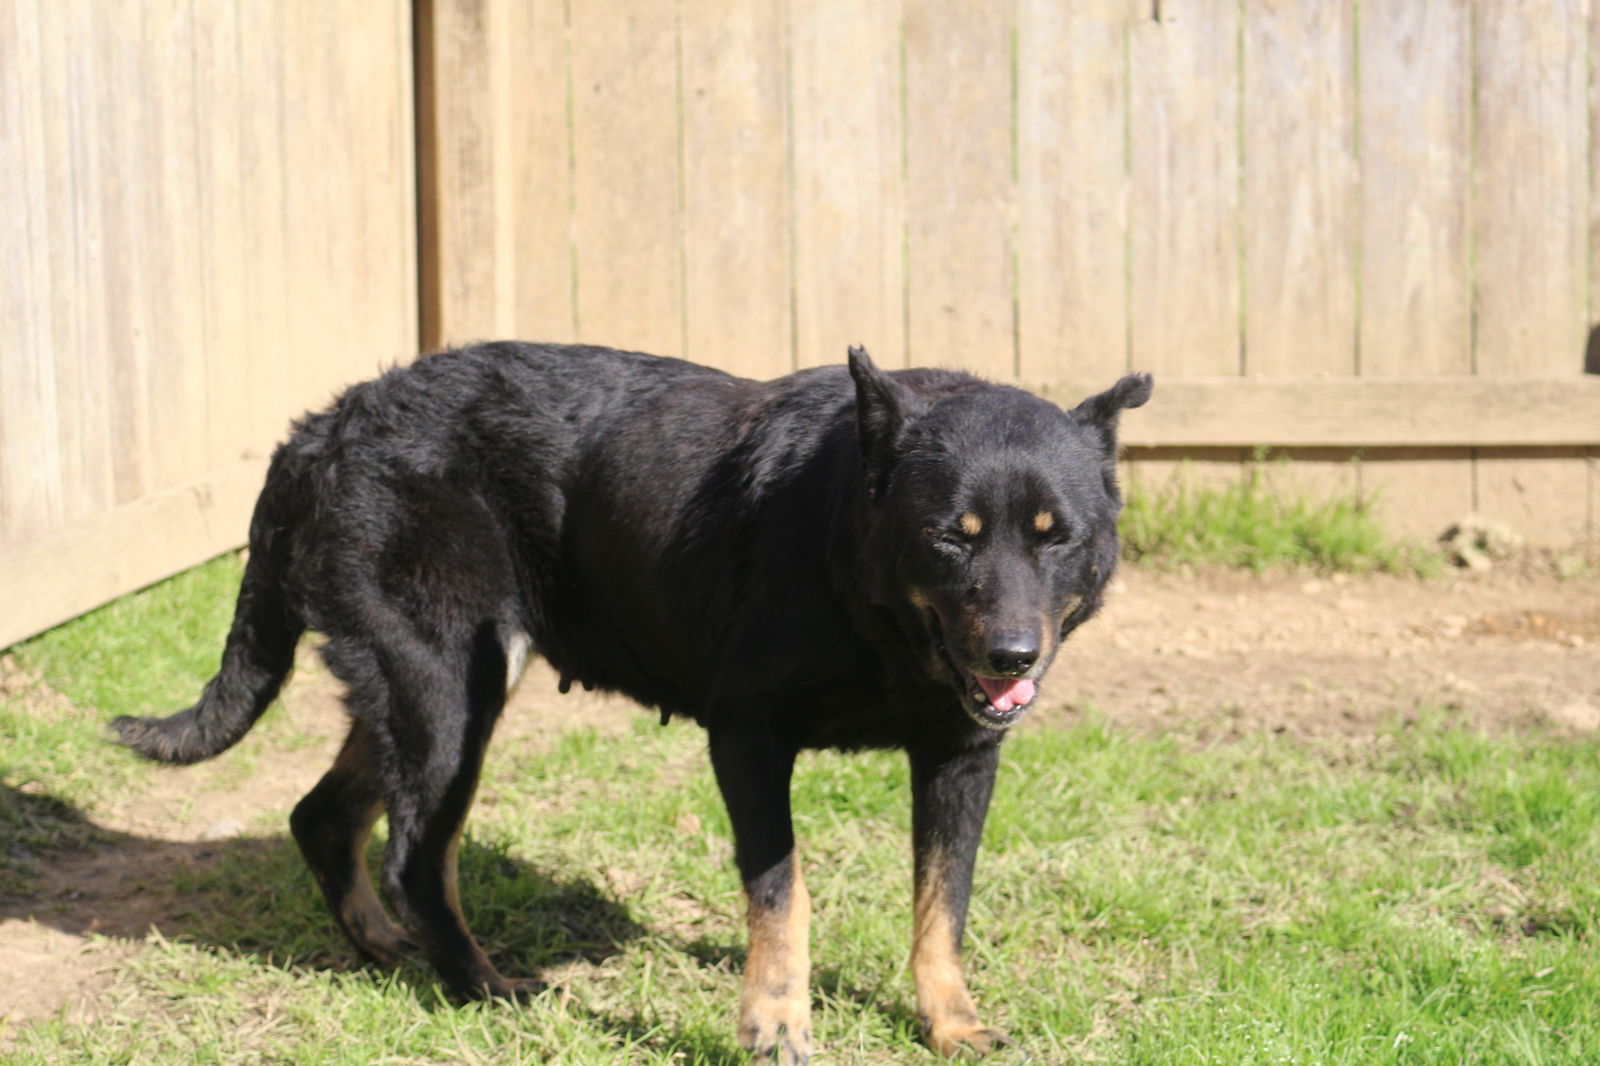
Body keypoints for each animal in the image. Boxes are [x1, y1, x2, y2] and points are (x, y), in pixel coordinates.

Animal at [118, 340, 1158, 1056]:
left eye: (1056, 535)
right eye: (951, 535)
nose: (1011, 653)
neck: (863, 588)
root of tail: (323, 426)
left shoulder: (959, 756)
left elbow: (943, 905)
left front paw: (952, 1025)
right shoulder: (746, 738)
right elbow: (784, 893)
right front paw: (775, 1027)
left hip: (426, 690)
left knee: (324, 817)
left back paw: (383, 947)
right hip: (450, 689)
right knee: (417, 856)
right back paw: (482, 987)